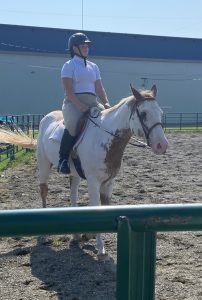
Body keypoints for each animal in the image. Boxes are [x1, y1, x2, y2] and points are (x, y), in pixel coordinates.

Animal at [0, 85, 168, 258]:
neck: (104, 139)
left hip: (74, 175)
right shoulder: (93, 181)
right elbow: (97, 207)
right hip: (44, 165)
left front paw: (89, 235)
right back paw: (44, 235)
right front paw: (100, 248)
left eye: (160, 112)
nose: (162, 145)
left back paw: (76, 235)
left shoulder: (109, 182)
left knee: (73, 196)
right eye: (144, 113)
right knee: (44, 191)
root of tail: (46, 118)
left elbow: (105, 208)